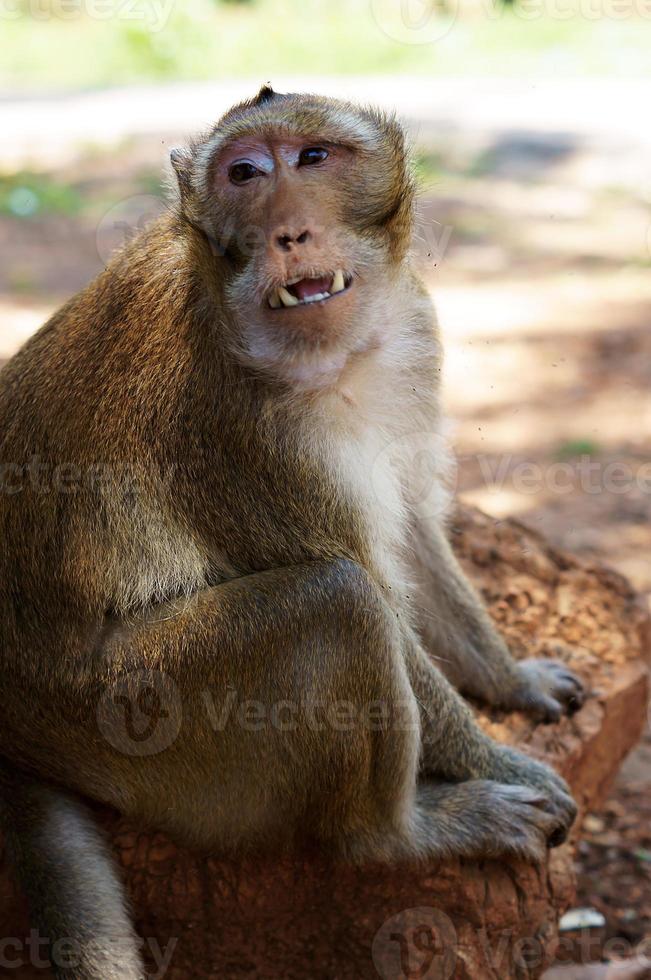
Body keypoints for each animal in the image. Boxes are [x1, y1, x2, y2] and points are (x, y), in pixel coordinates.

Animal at [0, 88, 584, 976]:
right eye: (243, 174)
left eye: (312, 159)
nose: (289, 232)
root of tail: (18, 732)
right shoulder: (235, 426)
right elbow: (374, 595)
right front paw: (500, 760)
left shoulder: (412, 325)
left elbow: (414, 530)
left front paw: (511, 681)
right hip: (137, 722)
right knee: (335, 604)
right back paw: (399, 836)